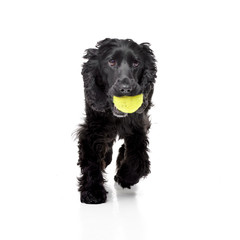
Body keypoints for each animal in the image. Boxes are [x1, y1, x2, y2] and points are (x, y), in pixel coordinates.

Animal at [76, 38, 157, 203]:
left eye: (136, 63)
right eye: (111, 62)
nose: (125, 88)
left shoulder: (139, 125)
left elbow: (137, 155)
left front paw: (127, 176)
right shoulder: (93, 127)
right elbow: (91, 158)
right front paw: (92, 191)